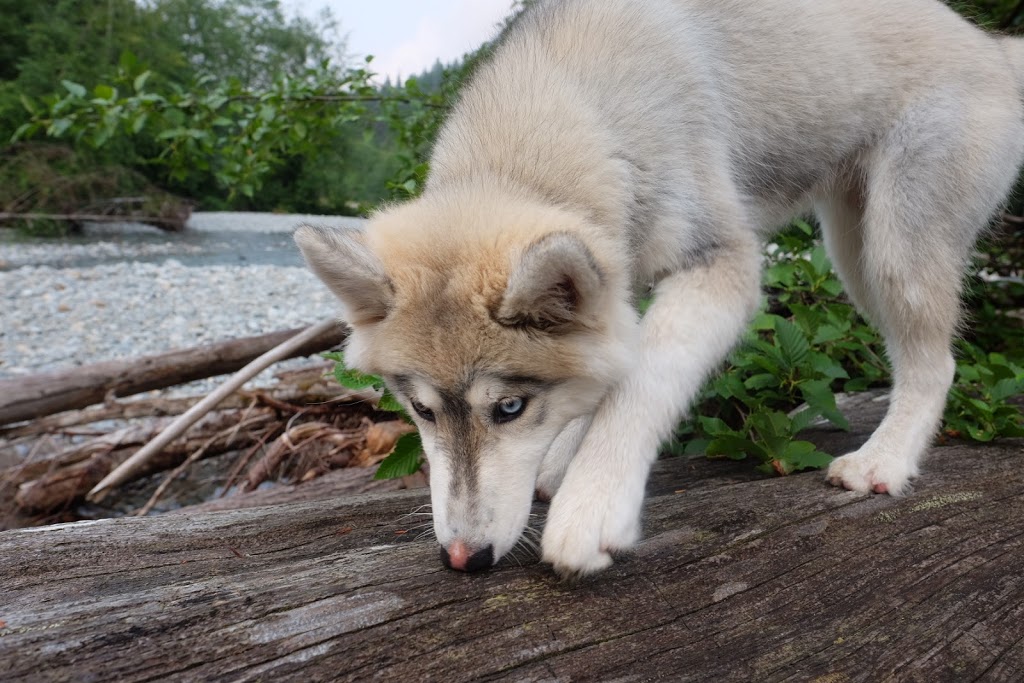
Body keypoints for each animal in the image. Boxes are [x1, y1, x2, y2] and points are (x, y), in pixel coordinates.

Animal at [292, 0, 1024, 577]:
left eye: (509, 409)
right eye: (420, 411)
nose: (463, 558)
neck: (570, 109)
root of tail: (992, 46)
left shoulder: (720, 267)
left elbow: (642, 382)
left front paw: (592, 501)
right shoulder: (617, 285)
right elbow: (609, 368)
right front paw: (566, 452)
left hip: (896, 247)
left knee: (937, 362)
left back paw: (886, 461)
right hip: (851, 247)